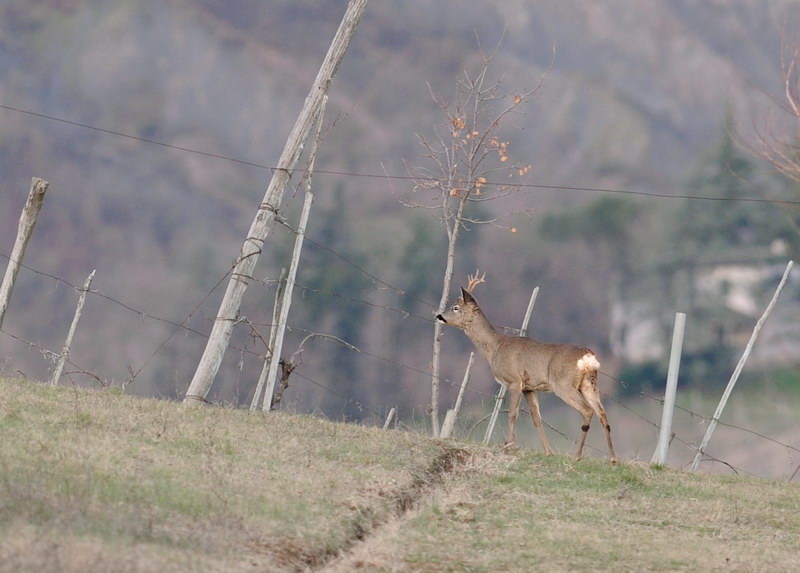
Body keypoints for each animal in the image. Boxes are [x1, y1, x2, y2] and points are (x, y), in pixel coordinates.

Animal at [438, 278, 620, 464]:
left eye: (455, 307)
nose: (439, 316)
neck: (496, 347)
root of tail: (588, 356)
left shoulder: (514, 381)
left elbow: (512, 414)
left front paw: (509, 445)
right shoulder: (529, 388)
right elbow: (536, 418)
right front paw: (548, 451)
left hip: (563, 384)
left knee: (588, 410)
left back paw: (577, 456)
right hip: (589, 385)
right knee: (602, 413)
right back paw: (613, 459)